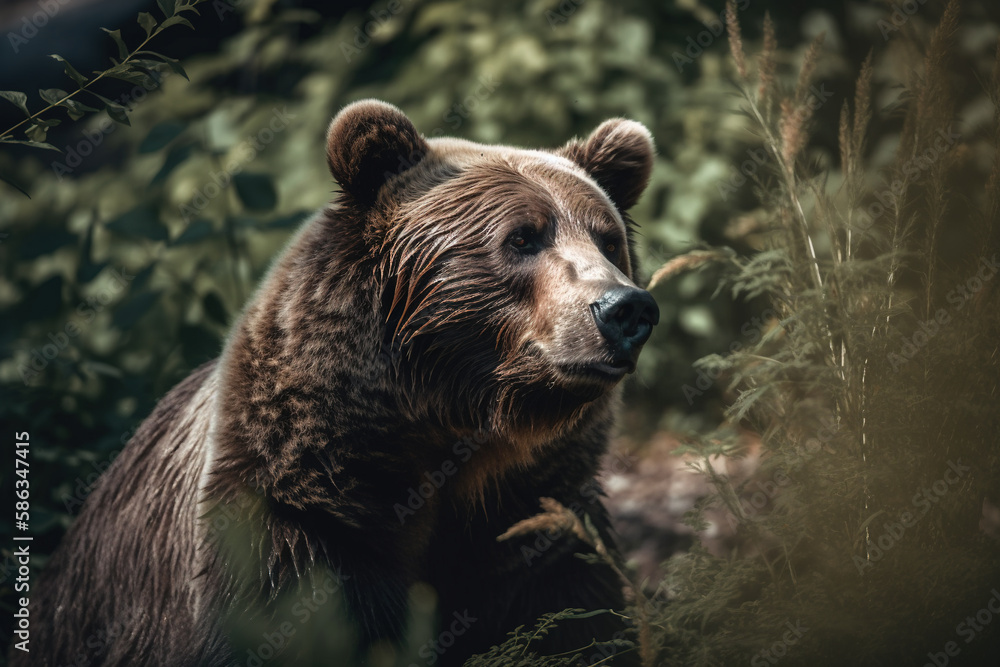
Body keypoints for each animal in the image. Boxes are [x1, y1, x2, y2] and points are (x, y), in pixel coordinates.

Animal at [15, 99, 659, 667]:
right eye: (522, 237)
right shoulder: (290, 531)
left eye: (607, 239)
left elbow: (574, 624)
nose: (626, 309)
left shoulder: (538, 525)